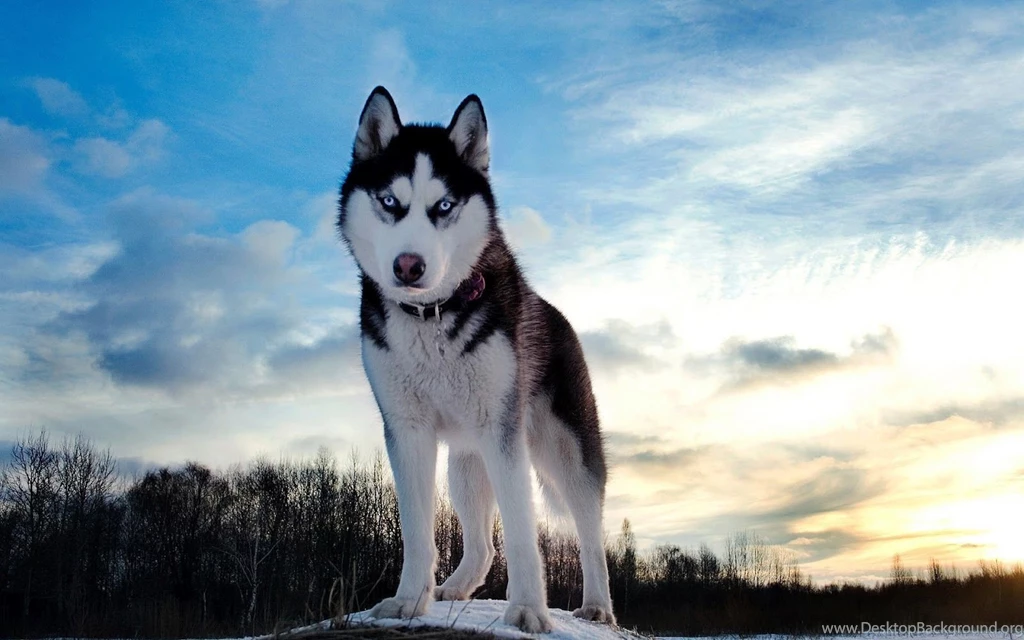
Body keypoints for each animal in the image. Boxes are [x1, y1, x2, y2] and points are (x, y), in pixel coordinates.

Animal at [336, 86, 615, 633]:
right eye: (389, 202)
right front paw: (408, 601)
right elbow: (417, 531)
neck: (432, 316)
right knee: (483, 545)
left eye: (443, 205)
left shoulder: (502, 434)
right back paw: (456, 588)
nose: (408, 265)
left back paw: (597, 605)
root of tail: (558, 315)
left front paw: (527, 608)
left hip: (565, 452)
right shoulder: (407, 431)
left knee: (591, 535)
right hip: (466, 464)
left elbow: (524, 533)